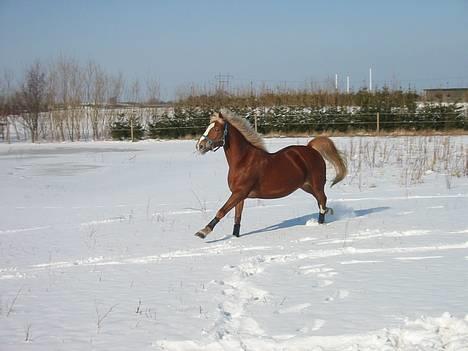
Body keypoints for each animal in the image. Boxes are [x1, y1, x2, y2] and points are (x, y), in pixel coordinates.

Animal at [194, 111, 348, 241]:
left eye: (217, 129)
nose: (199, 146)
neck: (243, 161)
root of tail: (311, 148)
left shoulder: (239, 192)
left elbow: (222, 211)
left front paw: (203, 232)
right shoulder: (239, 195)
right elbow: (237, 217)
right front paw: (235, 237)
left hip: (316, 185)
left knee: (322, 200)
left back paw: (321, 223)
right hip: (306, 186)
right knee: (321, 201)